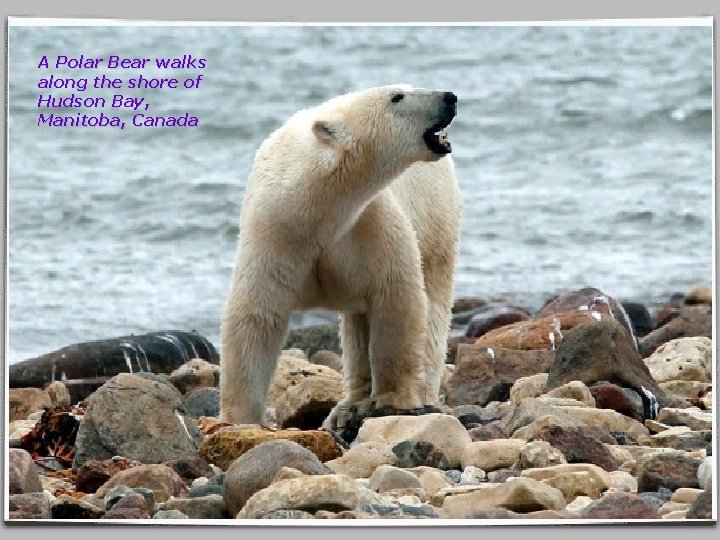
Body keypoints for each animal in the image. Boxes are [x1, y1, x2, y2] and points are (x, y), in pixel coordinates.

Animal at [220, 84, 462, 433]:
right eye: (397, 96)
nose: (449, 97)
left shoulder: (368, 223)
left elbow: (396, 298)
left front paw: (393, 399)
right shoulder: (274, 234)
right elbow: (256, 315)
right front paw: (240, 419)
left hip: (436, 221)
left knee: (433, 302)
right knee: (357, 324)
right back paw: (348, 406)